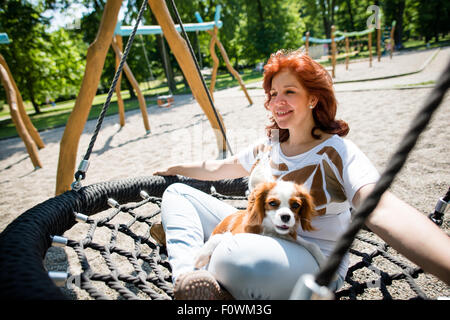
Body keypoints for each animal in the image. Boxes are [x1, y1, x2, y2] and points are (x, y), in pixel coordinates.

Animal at [194, 181, 326, 268]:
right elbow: (221, 237)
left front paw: (323, 261)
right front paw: (201, 255)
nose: (285, 216)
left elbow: (312, 244)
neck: (270, 231)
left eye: (296, 205)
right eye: (272, 203)